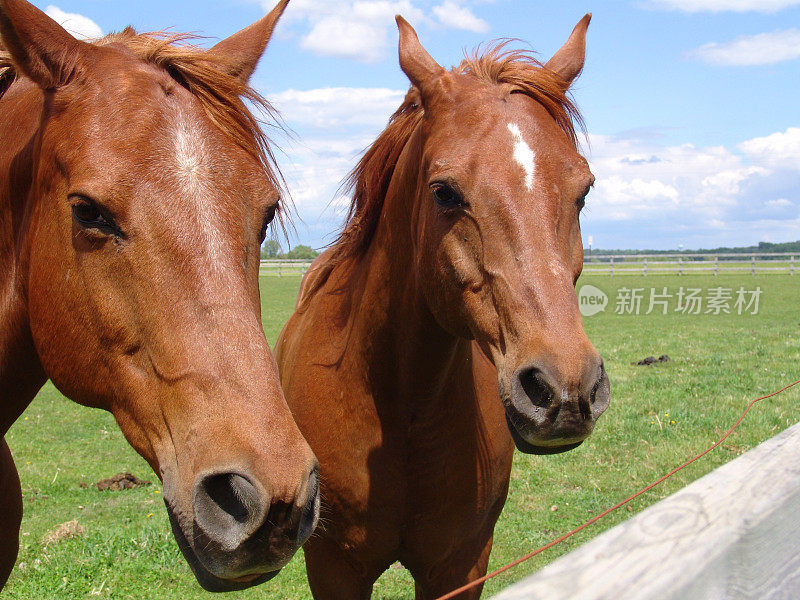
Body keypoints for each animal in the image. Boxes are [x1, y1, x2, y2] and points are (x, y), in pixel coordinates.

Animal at [278, 14, 608, 600]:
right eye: (445, 192)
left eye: (584, 190)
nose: (567, 390)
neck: (403, 411)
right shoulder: (335, 567)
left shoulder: (462, 564)